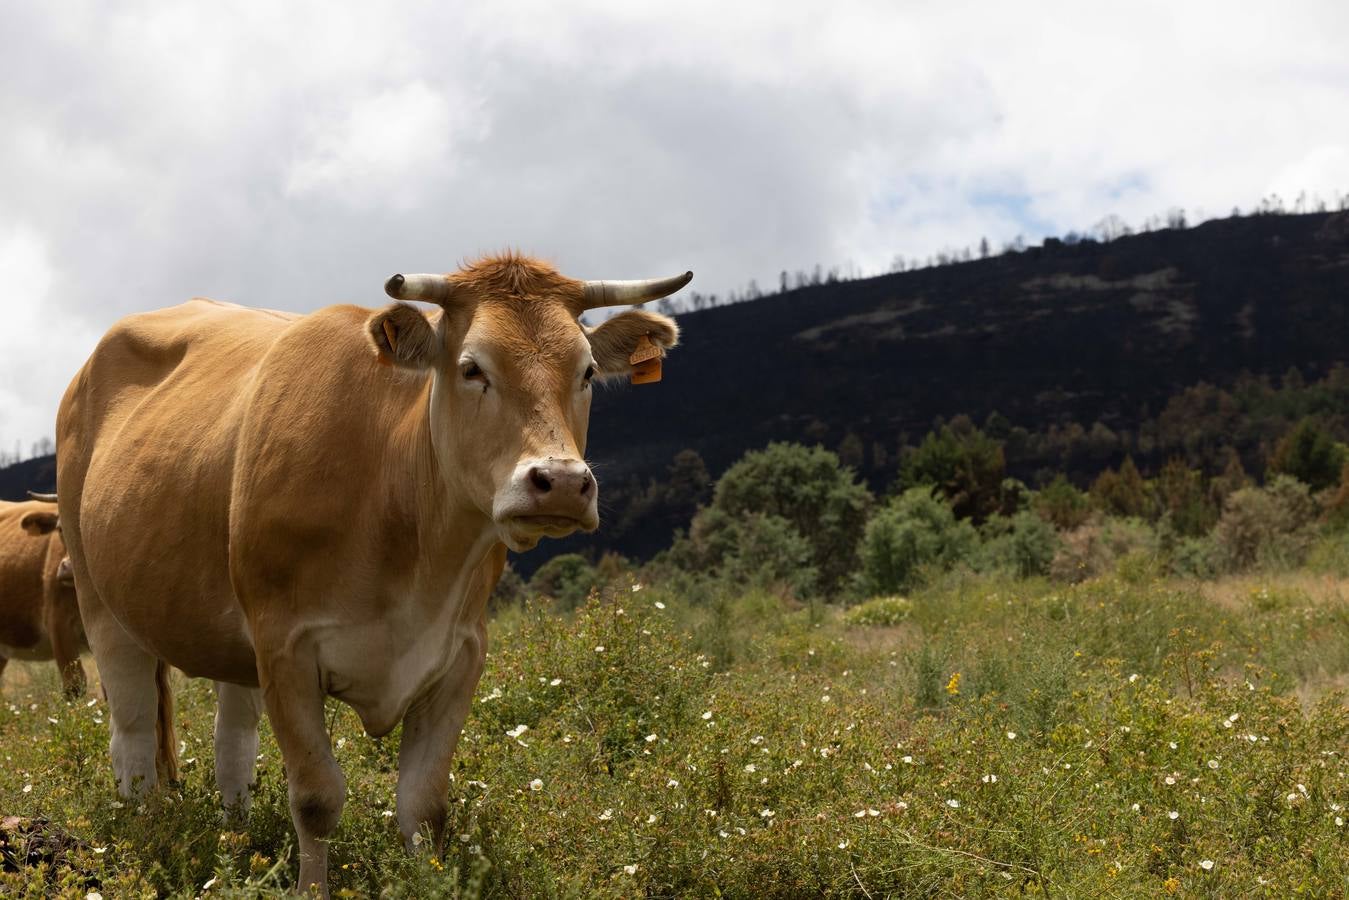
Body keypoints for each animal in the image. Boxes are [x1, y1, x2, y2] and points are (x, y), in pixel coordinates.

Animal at [55, 253, 685, 895]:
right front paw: (311, 888)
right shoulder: (286, 649)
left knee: (231, 743)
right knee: (133, 740)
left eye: (586, 371)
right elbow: (316, 799)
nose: (559, 482)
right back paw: (147, 832)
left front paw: (429, 881)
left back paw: (237, 838)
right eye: (471, 367)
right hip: (102, 606)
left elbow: (424, 805)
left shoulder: (461, 654)